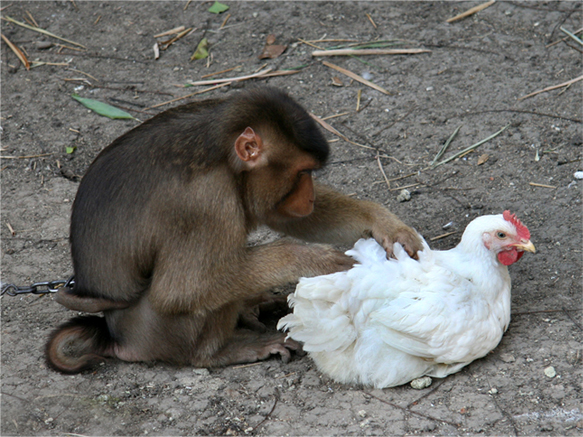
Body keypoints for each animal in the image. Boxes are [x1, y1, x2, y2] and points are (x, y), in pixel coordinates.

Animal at [44, 87, 420, 372]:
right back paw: (217, 352)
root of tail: (119, 340)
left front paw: (385, 223)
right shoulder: (203, 205)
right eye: (302, 173)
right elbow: (180, 290)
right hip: (159, 333)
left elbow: (290, 218)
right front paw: (311, 259)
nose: (310, 195)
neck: (226, 160)